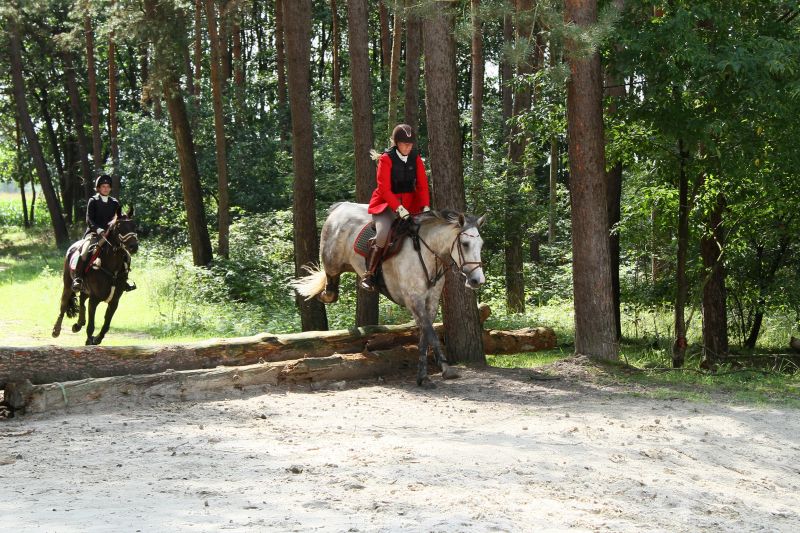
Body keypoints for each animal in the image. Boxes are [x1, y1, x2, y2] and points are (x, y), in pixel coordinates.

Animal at [52, 208, 139, 345]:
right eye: (119, 227)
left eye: (134, 226)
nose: (134, 247)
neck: (112, 268)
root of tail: (73, 247)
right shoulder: (94, 299)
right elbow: (91, 325)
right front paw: (89, 341)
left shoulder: (114, 302)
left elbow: (106, 324)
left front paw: (97, 339)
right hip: (68, 285)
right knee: (64, 305)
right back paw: (56, 330)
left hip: (85, 290)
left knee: (82, 300)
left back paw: (78, 324)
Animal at [291, 202, 486, 387]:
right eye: (465, 244)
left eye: (481, 245)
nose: (477, 280)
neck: (426, 253)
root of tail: (340, 207)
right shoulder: (413, 299)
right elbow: (431, 333)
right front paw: (446, 369)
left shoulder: (430, 301)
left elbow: (425, 335)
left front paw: (423, 377)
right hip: (332, 261)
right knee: (331, 285)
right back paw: (326, 293)